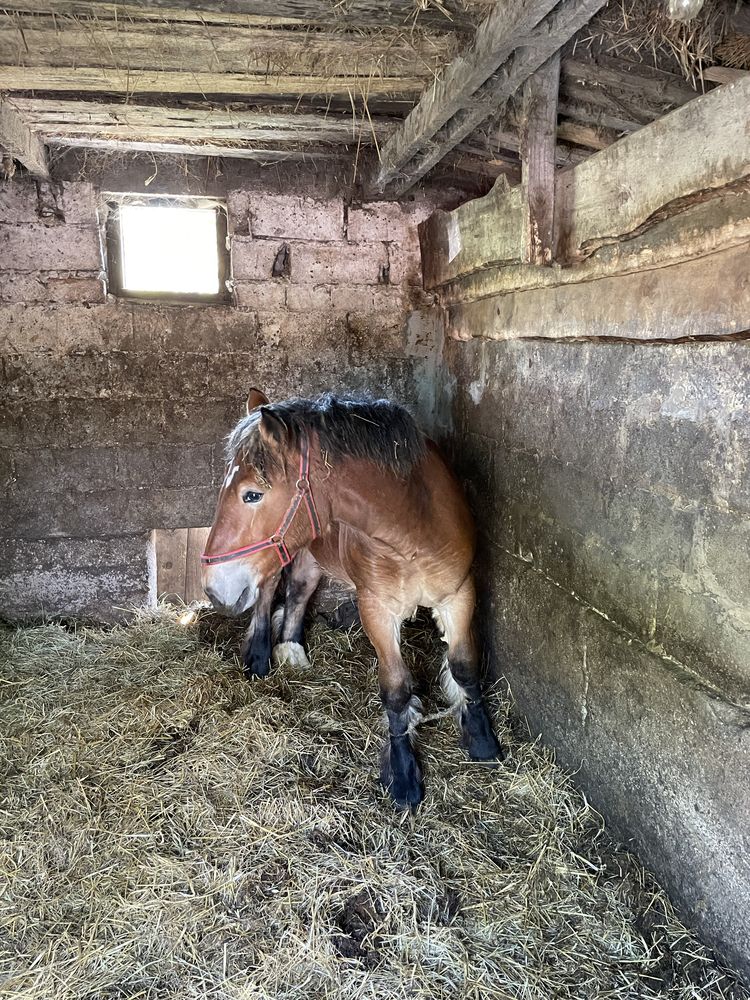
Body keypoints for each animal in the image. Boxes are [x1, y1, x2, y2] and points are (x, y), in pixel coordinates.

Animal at [203, 386, 502, 808]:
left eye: (252, 495)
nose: (214, 588)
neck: (414, 529)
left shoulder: (459, 595)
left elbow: (465, 667)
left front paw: (481, 740)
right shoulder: (376, 609)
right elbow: (396, 690)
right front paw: (403, 775)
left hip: (308, 551)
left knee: (299, 591)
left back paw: (292, 647)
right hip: (275, 558)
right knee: (265, 597)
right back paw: (260, 656)